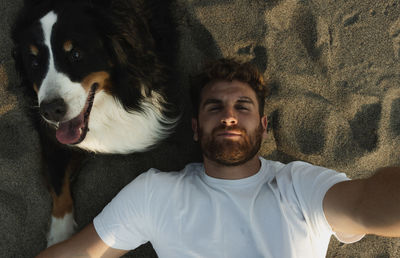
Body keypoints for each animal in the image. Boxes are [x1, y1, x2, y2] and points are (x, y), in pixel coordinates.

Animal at [11, 0, 179, 247]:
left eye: (76, 54)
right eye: (34, 62)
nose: (51, 110)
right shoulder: (51, 137)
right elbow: (59, 187)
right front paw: (60, 237)